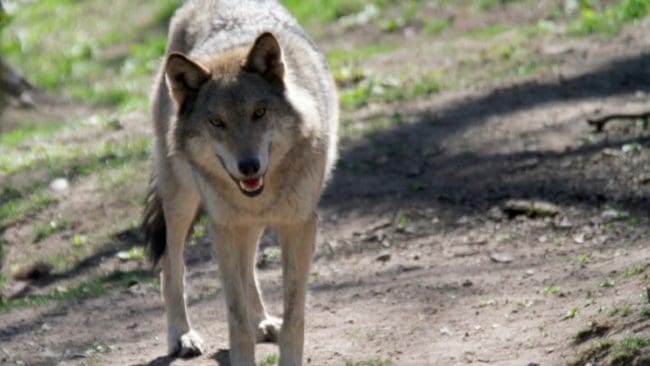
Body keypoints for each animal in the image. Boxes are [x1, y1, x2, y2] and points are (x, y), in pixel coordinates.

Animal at [139, 1, 336, 364]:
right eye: (217, 122)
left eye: (259, 112)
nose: (248, 166)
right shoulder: (225, 228)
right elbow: (236, 318)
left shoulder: (299, 225)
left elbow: (293, 316)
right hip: (182, 202)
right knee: (172, 266)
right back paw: (182, 336)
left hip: (244, 224)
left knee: (248, 271)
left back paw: (262, 321)